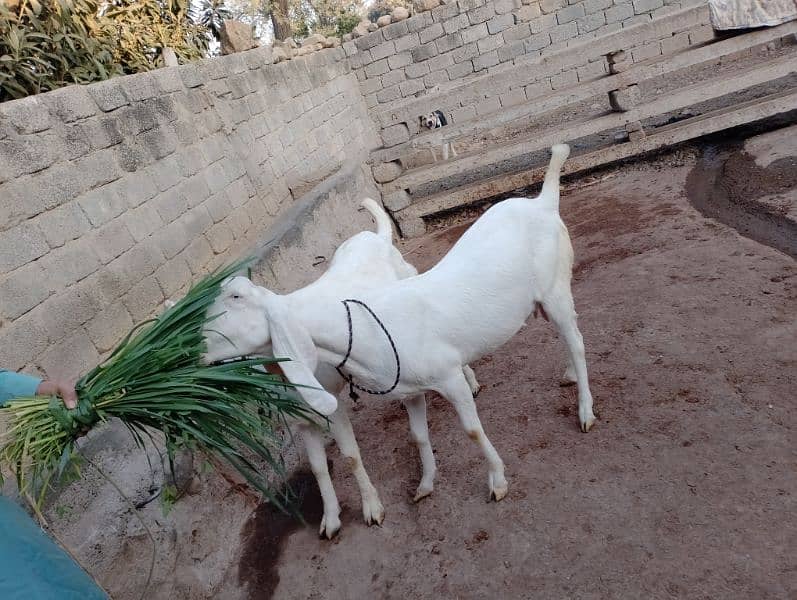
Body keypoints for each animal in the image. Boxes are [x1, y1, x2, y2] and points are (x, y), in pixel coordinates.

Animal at [202, 144, 592, 506]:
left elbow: (472, 431)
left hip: (555, 288)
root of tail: (543, 202)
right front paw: (425, 484)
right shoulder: (410, 391)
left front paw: (497, 481)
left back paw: (585, 410)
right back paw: (569, 375)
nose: (196, 349)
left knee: (576, 341)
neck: (366, 331)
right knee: (566, 337)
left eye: (236, 298)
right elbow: (418, 436)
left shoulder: (449, 377)